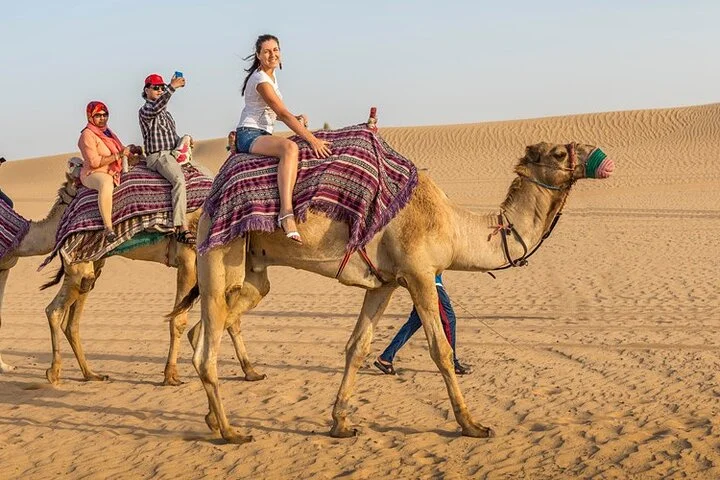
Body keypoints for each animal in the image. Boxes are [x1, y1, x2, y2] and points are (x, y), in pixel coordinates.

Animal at [172, 141, 614, 444]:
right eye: (560, 152)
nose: (603, 157)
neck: (453, 224)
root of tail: (208, 203)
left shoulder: (383, 284)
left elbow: (357, 347)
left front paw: (341, 422)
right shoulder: (420, 273)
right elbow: (440, 349)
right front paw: (471, 424)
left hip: (251, 273)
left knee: (207, 328)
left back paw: (211, 418)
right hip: (218, 255)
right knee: (206, 349)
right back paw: (230, 431)